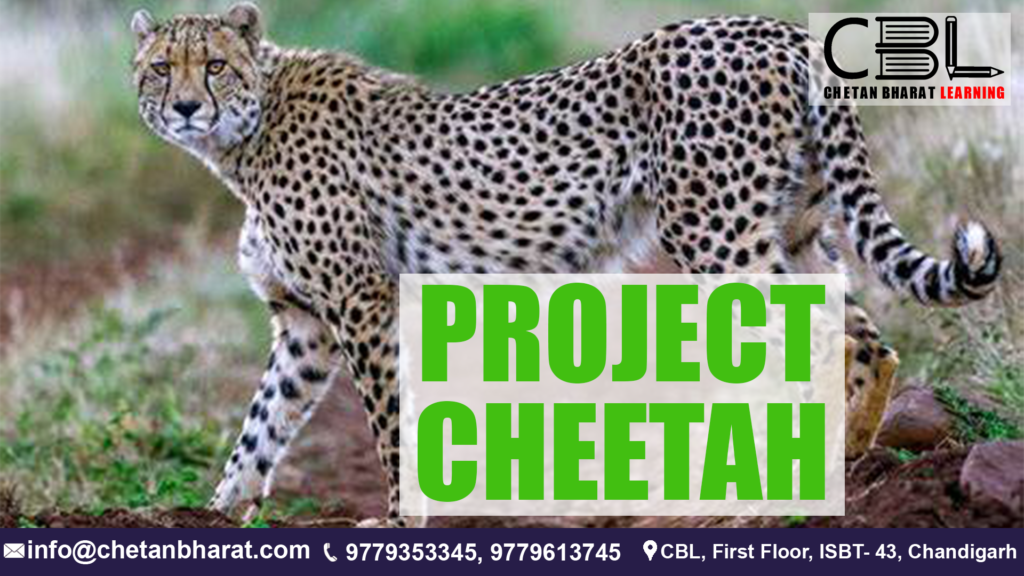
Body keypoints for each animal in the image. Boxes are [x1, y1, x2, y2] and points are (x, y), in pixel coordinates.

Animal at [130, 3, 1001, 527]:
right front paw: (219, 510)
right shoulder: (305, 324)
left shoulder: (363, 302)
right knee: (865, 338)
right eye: (159, 68)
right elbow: (261, 424)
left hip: (713, 231)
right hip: (792, 229)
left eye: (213, 65)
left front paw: (401, 516)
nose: (185, 107)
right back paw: (845, 461)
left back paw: (771, 491)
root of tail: (770, 27)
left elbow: (387, 425)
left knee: (816, 338)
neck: (244, 137)